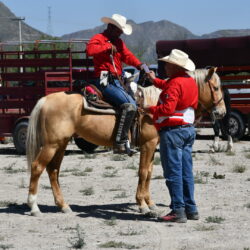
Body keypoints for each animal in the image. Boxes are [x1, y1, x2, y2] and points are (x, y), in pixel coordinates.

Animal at [26, 67, 226, 216]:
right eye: (216, 88)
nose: (222, 112)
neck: (154, 106)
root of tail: (46, 99)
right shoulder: (148, 145)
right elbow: (143, 172)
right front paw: (142, 205)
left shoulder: (152, 147)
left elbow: (149, 173)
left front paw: (150, 203)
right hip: (51, 144)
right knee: (37, 167)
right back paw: (34, 207)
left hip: (61, 144)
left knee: (53, 171)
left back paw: (63, 206)